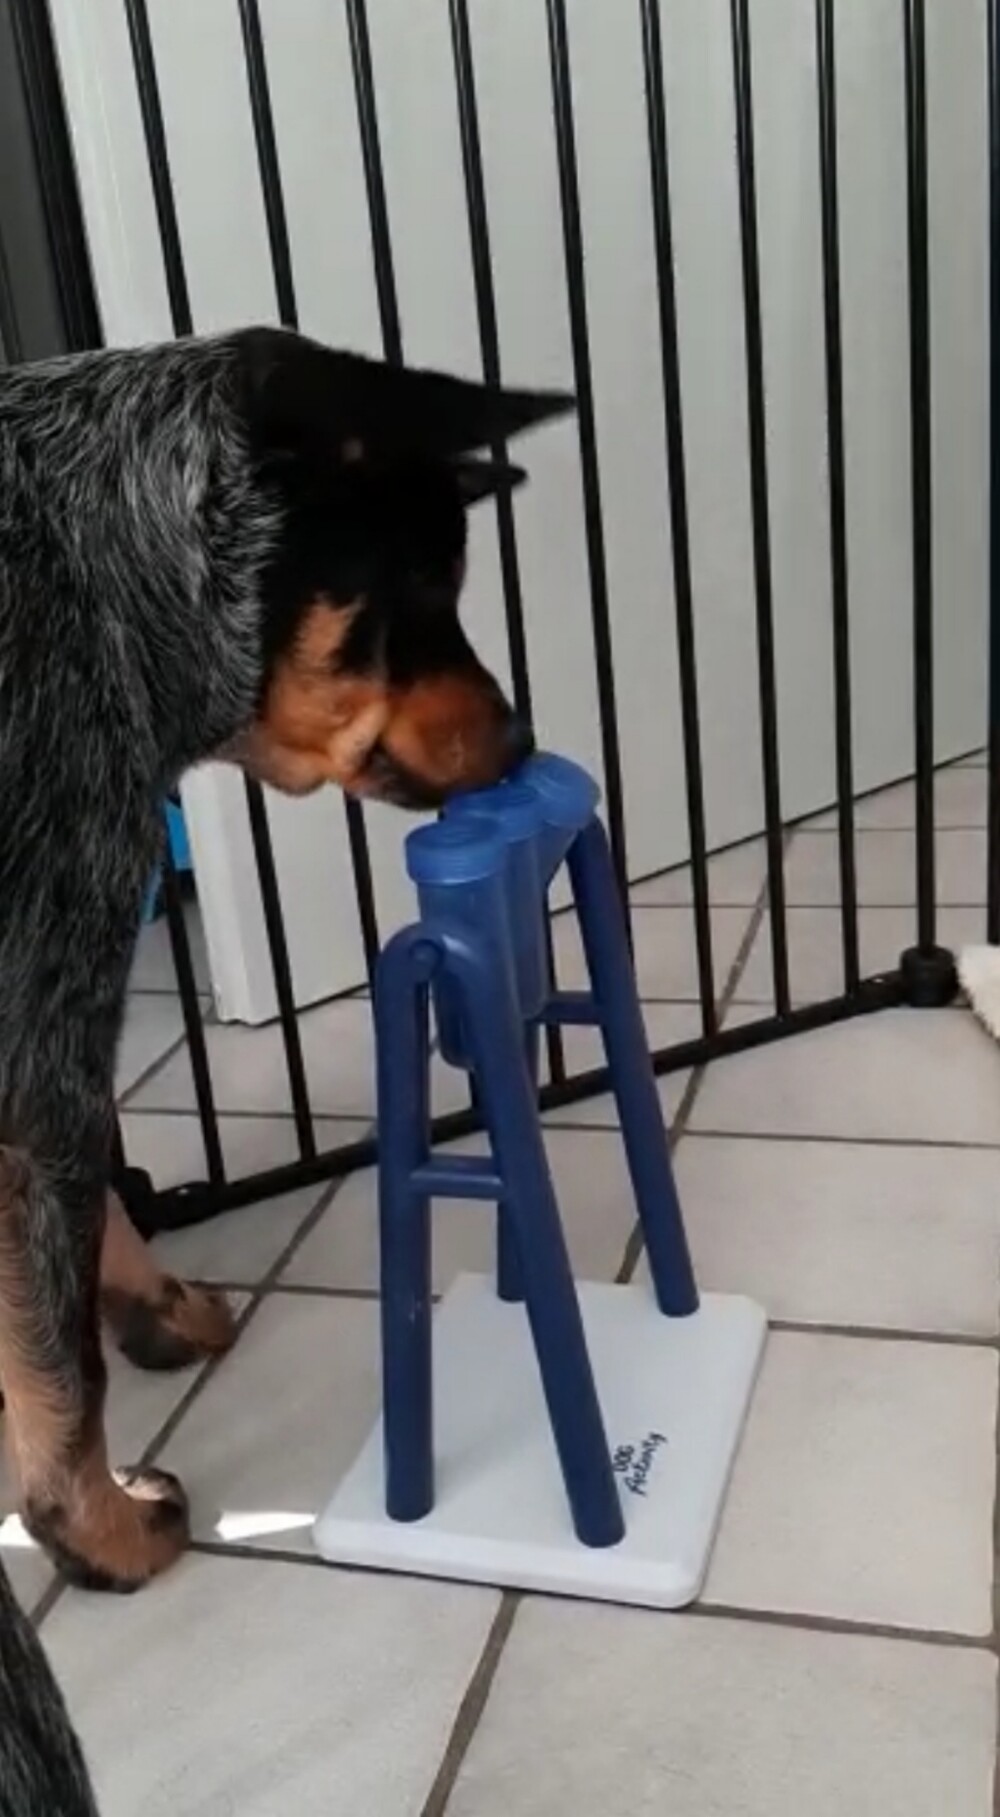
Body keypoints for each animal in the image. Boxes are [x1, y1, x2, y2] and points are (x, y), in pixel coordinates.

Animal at [0, 325, 569, 1804]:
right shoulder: (44, 1028)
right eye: (422, 586)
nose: (524, 747)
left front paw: (148, 1296)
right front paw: (94, 1528)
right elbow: (62, 1352)